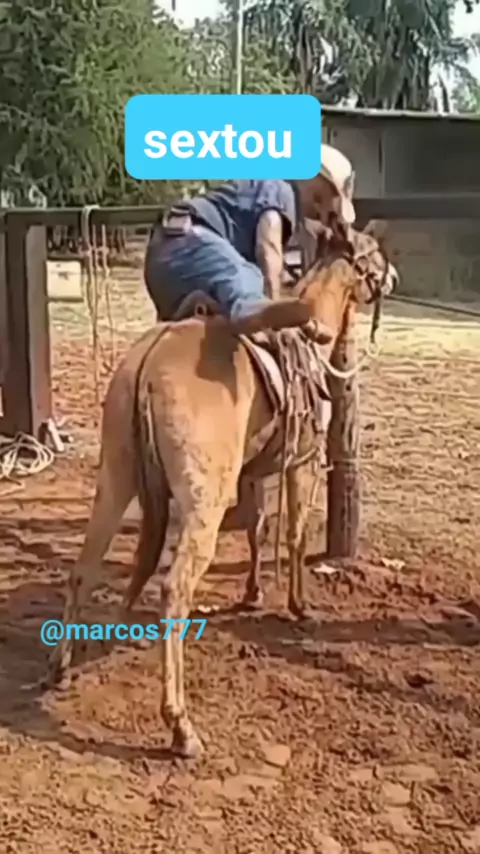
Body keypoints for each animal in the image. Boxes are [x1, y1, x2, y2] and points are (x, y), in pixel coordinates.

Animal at [47, 224, 398, 759]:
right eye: (372, 254)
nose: (393, 277)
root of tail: (149, 361)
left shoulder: (252, 474)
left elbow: (257, 529)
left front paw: (253, 593)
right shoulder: (301, 464)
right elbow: (294, 534)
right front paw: (298, 605)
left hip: (115, 480)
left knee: (84, 570)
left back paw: (61, 667)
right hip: (202, 503)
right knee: (173, 591)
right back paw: (181, 727)